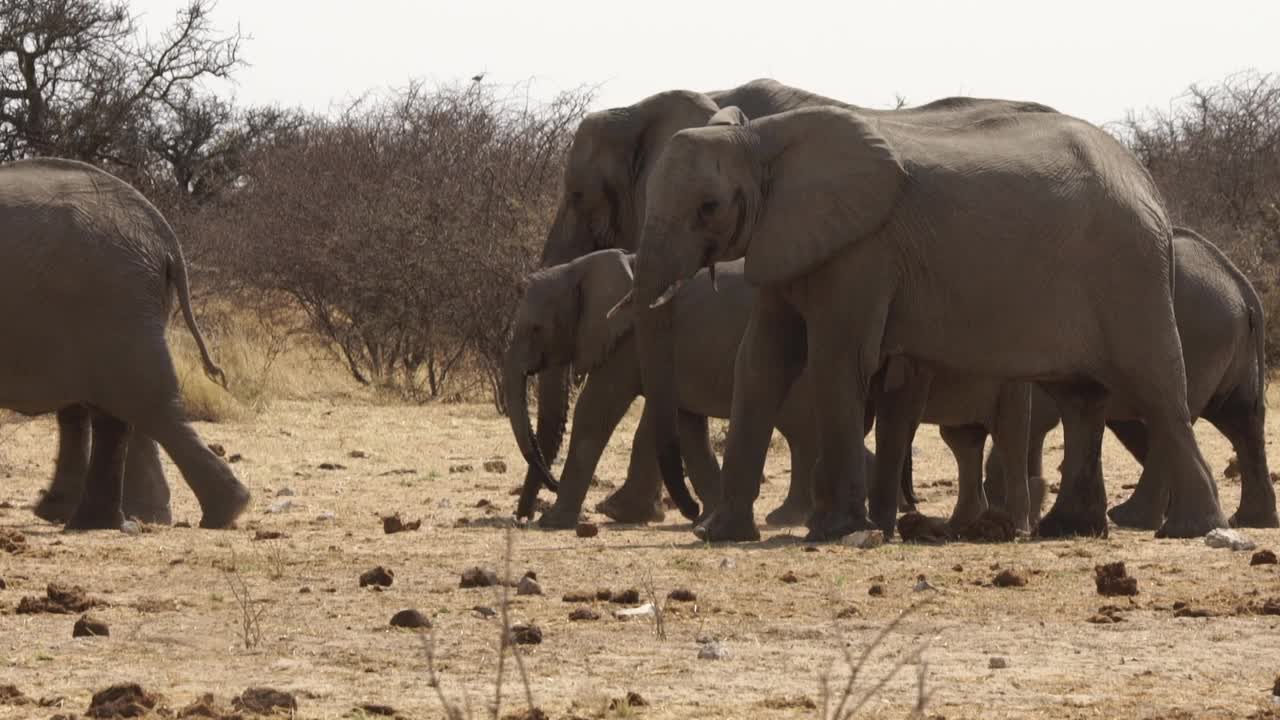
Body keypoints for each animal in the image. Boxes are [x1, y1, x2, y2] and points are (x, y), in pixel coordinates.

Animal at [634, 105, 1223, 538]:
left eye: (708, 207)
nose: (691, 516)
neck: (760, 137)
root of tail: (1147, 182)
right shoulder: (789, 240)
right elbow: (761, 362)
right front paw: (720, 535)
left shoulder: (862, 248)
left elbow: (836, 359)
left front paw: (835, 532)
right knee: (1081, 397)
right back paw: (1070, 529)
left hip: (1129, 271)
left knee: (1157, 390)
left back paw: (1192, 529)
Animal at [977, 228, 1269, 527]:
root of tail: (1243, 289)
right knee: (1239, 420)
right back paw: (1249, 520)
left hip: (1198, 341)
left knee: (1174, 414)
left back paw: (1132, 517)